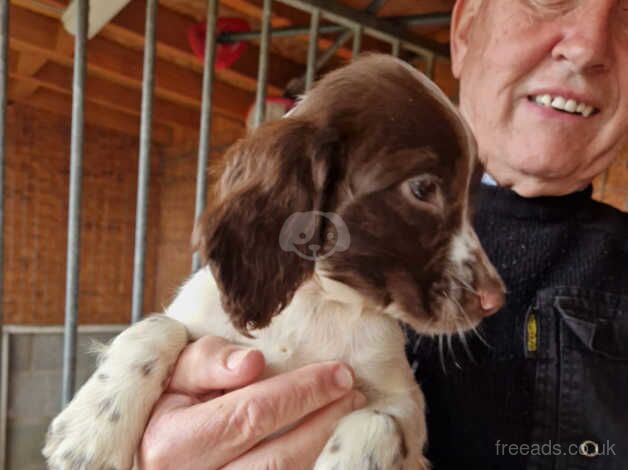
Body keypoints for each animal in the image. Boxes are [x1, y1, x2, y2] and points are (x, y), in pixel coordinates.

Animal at [43, 55, 506, 470]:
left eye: (473, 196)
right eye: (423, 188)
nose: (495, 299)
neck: (317, 303)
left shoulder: (402, 398)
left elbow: (379, 423)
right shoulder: (199, 318)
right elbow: (156, 326)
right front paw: (88, 437)